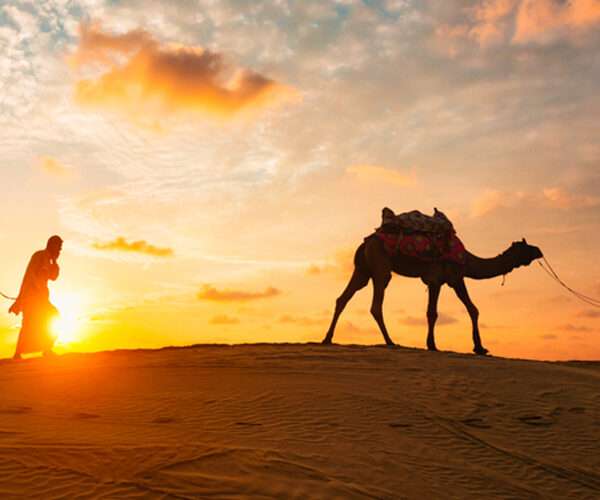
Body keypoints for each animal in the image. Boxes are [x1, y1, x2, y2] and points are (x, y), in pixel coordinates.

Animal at [324, 232, 544, 354]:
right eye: (526, 247)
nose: (539, 250)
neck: (468, 260)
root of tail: (364, 243)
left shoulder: (447, 279)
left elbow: (469, 309)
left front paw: (479, 348)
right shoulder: (444, 278)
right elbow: (438, 312)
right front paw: (434, 345)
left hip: (362, 270)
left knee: (342, 298)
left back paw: (327, 339)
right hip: (381, 267)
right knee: (376, 305)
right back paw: (390, 341)